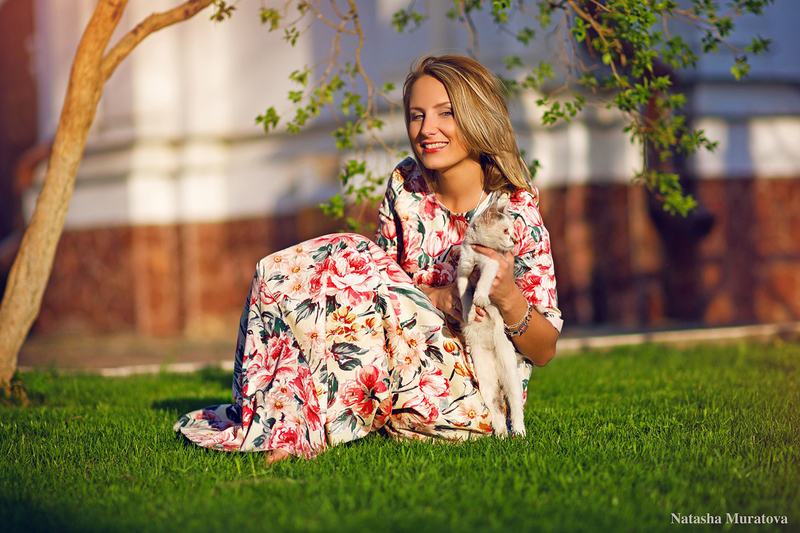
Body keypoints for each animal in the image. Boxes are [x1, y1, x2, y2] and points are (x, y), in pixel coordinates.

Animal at [456, 196, 526, 436]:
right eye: (505, 230)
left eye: (512, 230)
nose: (514, 240)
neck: (477, 253)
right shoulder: (463, 270)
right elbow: (462, 293)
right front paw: (468, 312)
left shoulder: (492, 265)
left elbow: (483, 283)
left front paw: (480, 299)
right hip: (484, 379)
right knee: (495, 407)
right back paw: (501, 434)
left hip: (510, 374)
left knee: (514, 405)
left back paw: (520, 433)